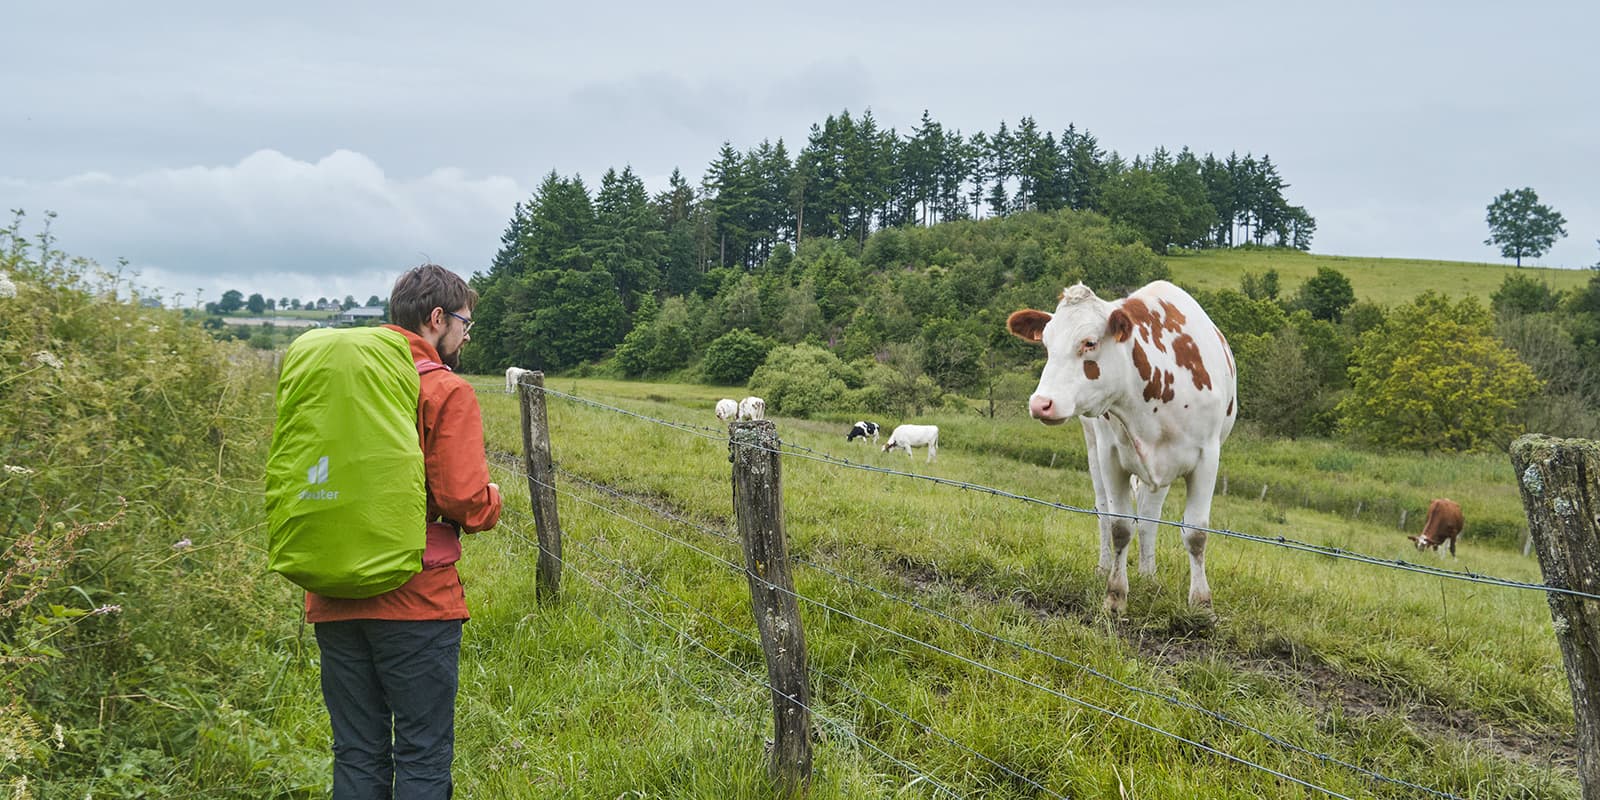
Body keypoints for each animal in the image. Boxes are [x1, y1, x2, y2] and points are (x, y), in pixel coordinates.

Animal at [1004, 278, 1241, 614]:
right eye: (1047, 345)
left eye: (1089, 343)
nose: (1041, 404)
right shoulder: (1111, 455)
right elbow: (1120, 526)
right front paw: (1115, 595)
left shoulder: (1207, 456)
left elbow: (1195, 532)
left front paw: (1202, 605)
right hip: (1094, 447)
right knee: (1105, 510)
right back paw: (1107, 567)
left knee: (1150, 517)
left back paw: (1148, 575)